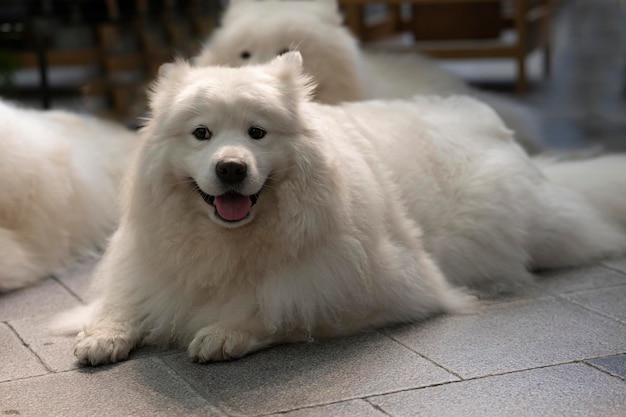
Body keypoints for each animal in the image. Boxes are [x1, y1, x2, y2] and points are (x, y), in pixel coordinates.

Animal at [68, 52, 624, 368]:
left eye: (256, 133)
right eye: (201, 133)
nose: (230, 169)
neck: (233, 242)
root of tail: (491, 125)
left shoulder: (381, 291)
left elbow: (282, 311)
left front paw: (227, 332)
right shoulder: (147, 266)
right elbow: (124, 303)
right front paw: (103, 335)